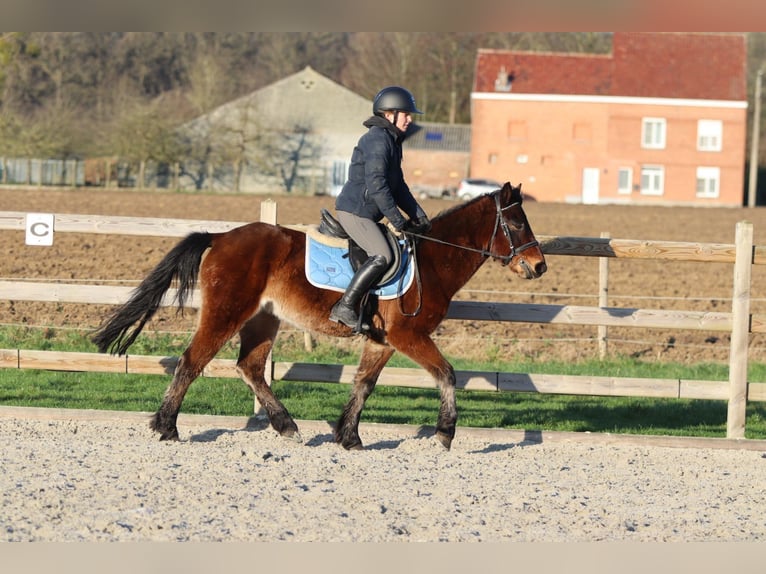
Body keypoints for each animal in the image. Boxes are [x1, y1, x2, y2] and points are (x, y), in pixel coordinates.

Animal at [92, 181, 547, 450]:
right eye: (516, 223)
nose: (539, 266)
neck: (433, 259)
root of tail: (221, 237)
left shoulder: (383, 340)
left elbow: (364, 385)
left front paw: (348, 436)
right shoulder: (408, 335)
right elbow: (447, 375)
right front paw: (445, 433)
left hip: (263, 318)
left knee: (250, 366)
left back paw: (286, 426)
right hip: (227, 312)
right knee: (192, 361)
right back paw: (167, 427)